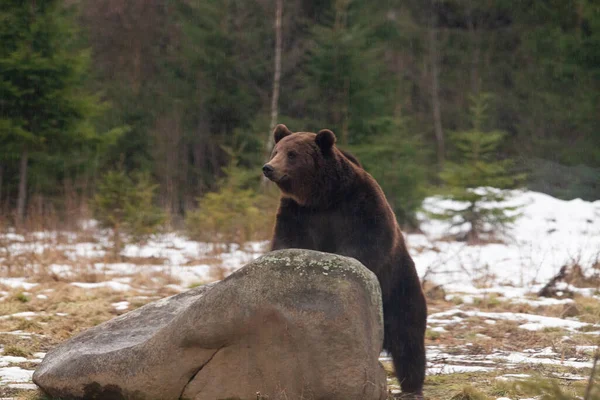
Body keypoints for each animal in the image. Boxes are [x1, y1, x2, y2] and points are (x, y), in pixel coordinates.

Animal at [262, 124, 426, 396]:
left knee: (408, 340)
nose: (268, 168)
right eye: (276, 151)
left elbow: (369, 241)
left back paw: (411, 387)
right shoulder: (298, 214)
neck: (322, 196)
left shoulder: (358, 205)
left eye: (292, 154)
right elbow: (287, 241)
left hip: (400, 289)